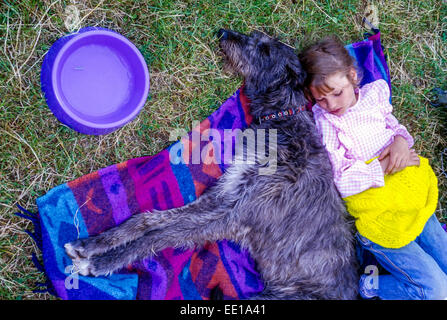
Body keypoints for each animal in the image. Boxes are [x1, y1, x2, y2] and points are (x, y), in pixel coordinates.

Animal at [65, 28, 358, 298]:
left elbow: (160, 235)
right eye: (254, 35)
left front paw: (99, 263)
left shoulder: (233, 216)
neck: (282, 121)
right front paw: (90, 245)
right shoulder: (225, 196)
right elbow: (149, 219)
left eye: (265, 50)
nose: (224, 32)